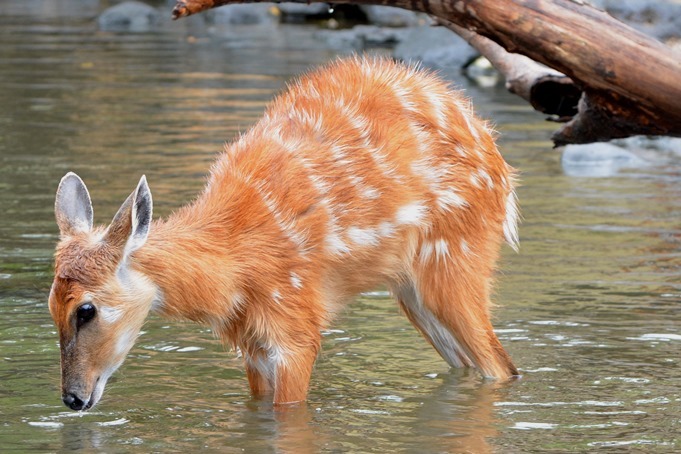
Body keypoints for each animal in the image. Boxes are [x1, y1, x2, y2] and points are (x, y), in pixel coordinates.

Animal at [50, 55, 520, 410]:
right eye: (52, 306)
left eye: (86, 310)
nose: (72, 398)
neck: (235, 262)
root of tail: (500, 162)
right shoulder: (251, 343)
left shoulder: (295, 321)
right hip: (413, 291)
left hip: (456, 256)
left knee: (502, 365)